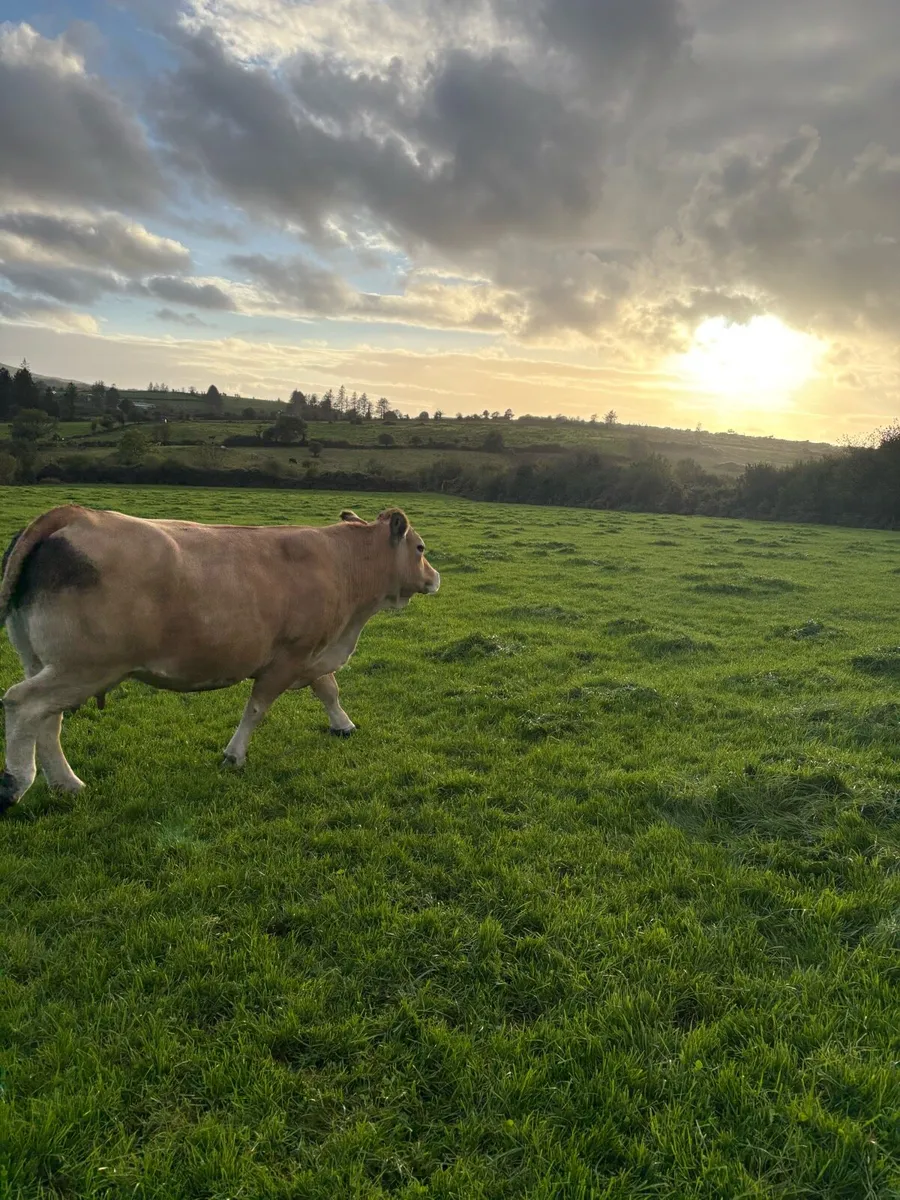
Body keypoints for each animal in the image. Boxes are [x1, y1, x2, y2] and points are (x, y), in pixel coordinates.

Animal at [0, 504, 440, 812]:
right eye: (420, 548)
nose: (435, 577)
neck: (343, 562)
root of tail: (73, 514)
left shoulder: (311, 653)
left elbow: (328, 689)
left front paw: (343, 725)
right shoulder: (288, 657)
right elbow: (257, 708)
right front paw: (235, 754)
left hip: (50, 664)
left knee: (46, 721)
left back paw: (66, 784)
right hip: (84, 667)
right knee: (23, 705)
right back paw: (16, 784)